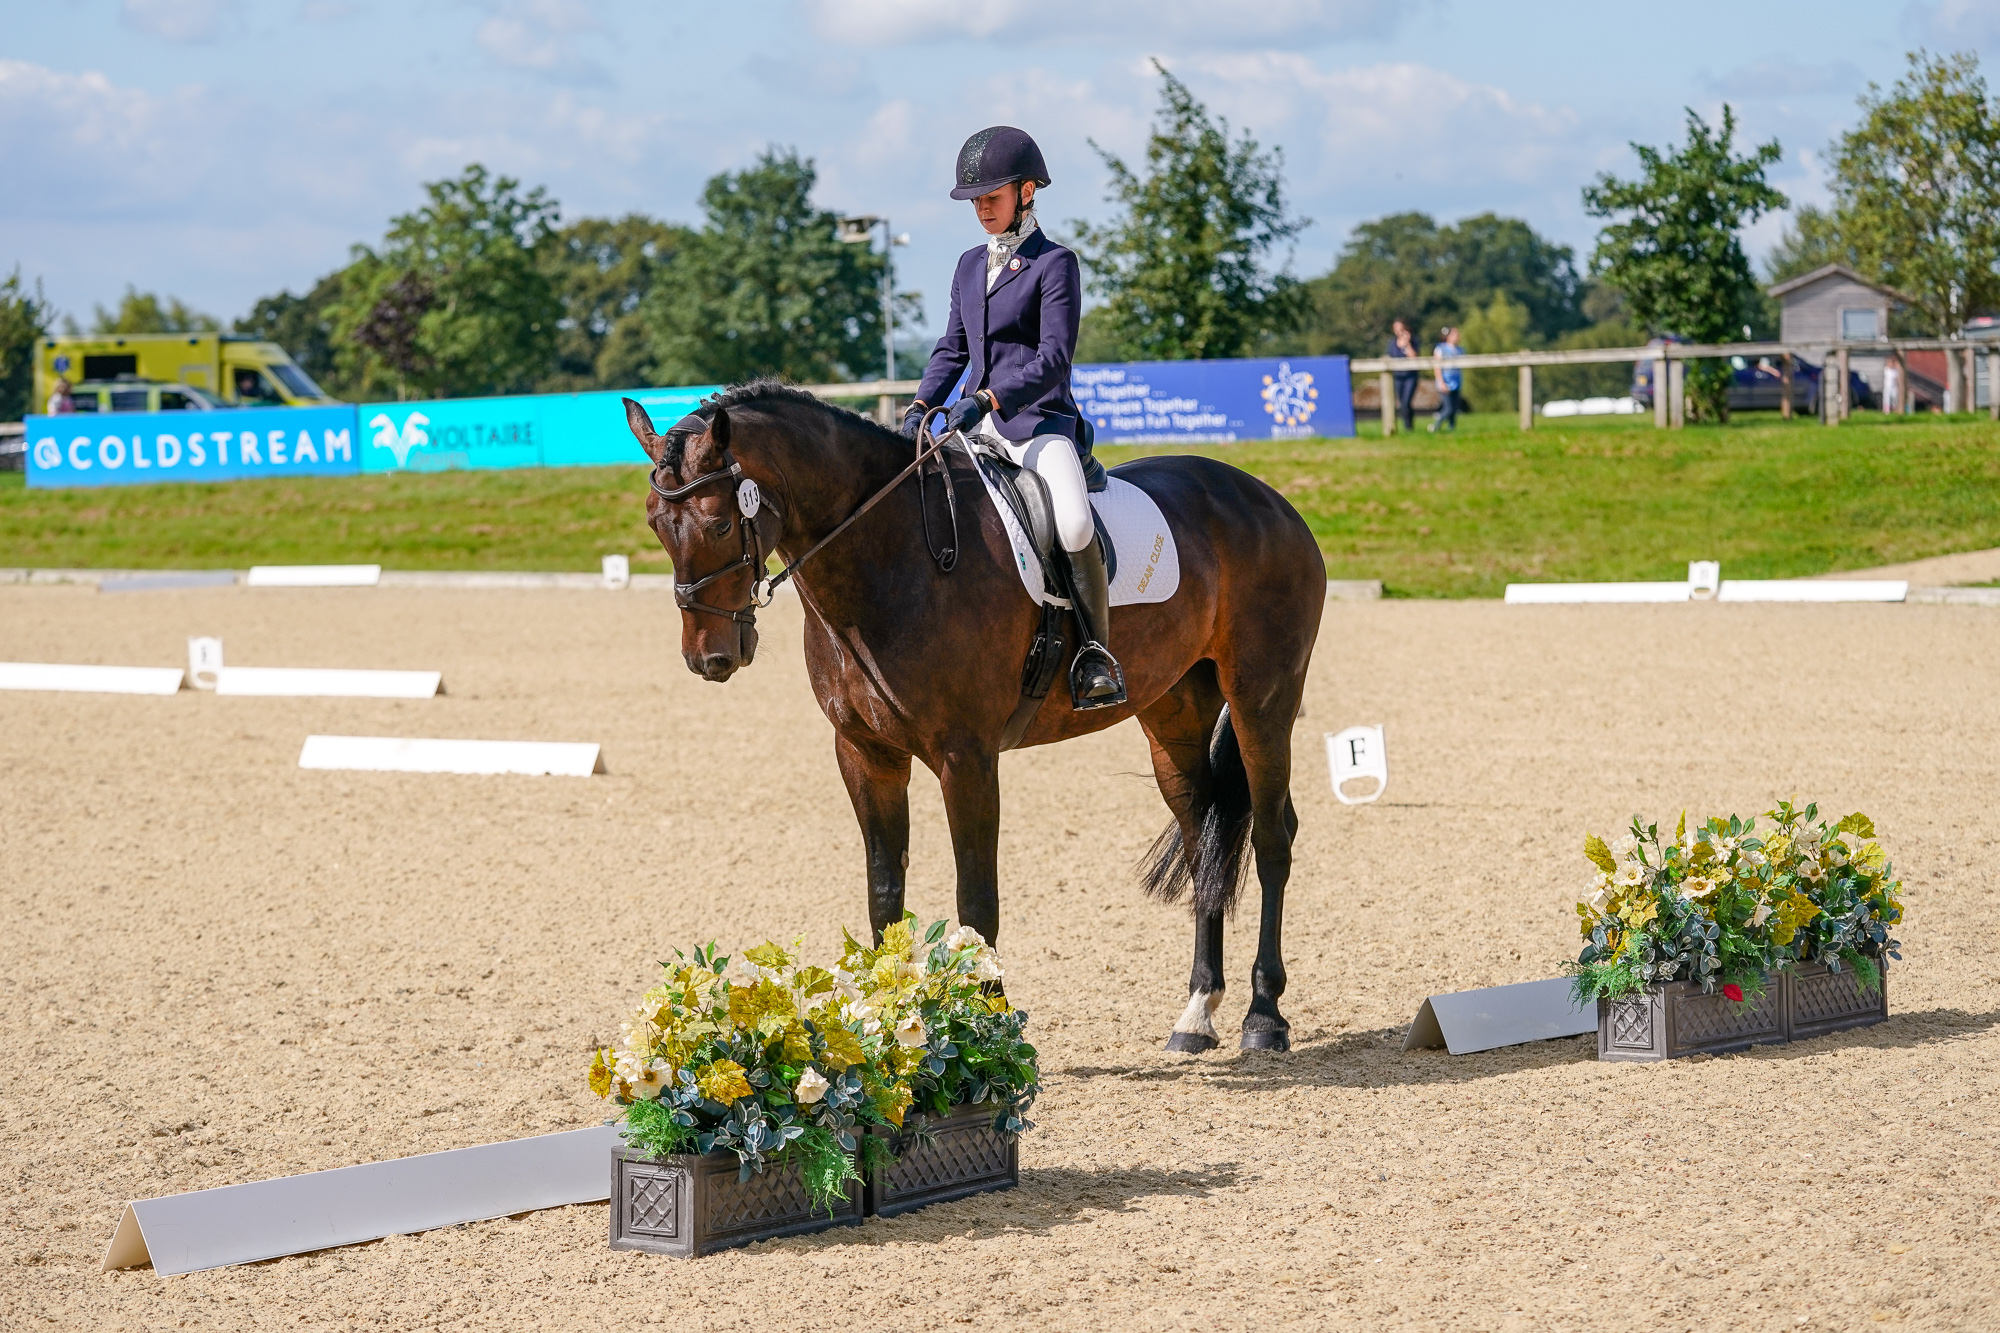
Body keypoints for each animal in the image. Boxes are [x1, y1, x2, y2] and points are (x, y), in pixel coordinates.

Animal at [616, 384, 1320, 1048]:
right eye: (655, 524)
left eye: (717, 524)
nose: (709, 657)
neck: (889, 558)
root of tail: (1267, 500)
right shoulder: (865, 755)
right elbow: (884, 895)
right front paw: (886, 1029)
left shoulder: (967, 758)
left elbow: (976, 901)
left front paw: (988, 1028)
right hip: (1172, 711)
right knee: (1203, 835)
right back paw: (1197, 1013)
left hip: (1262, 699)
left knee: (1271, 837)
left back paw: (1264, 1015)